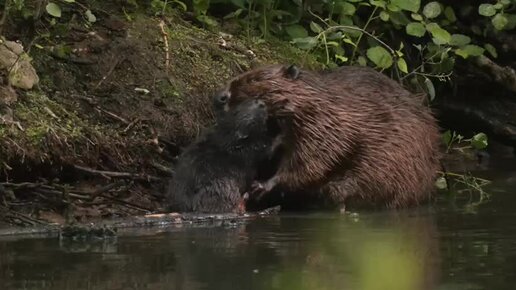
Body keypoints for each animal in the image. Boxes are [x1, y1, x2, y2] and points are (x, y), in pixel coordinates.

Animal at [212, 63, 442, 210]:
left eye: (254, 78)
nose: (219, 97)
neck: (321, 99)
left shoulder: (324, 125)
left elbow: (312, 161)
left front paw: (261, 186)